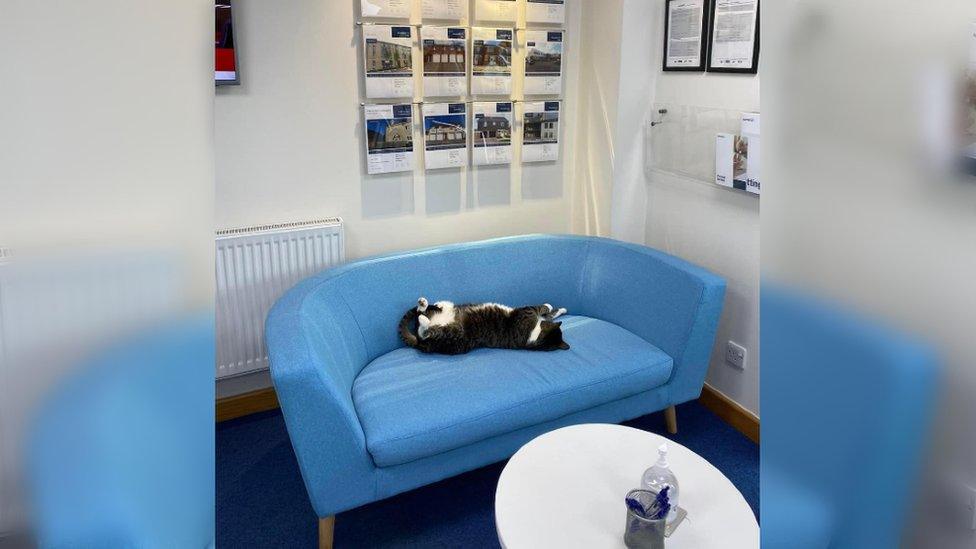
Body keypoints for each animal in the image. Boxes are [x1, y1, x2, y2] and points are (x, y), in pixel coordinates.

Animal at [400, 296, 572, 356]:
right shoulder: (529, 314)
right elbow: (545, 311)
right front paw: (558, 308)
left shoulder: (526, 313)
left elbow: (541, 309)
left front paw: (553, 307)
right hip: (447, 309)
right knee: (423, 314)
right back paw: (425, 304)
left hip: (451, 335)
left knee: (424, 331)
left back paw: (424, 318)